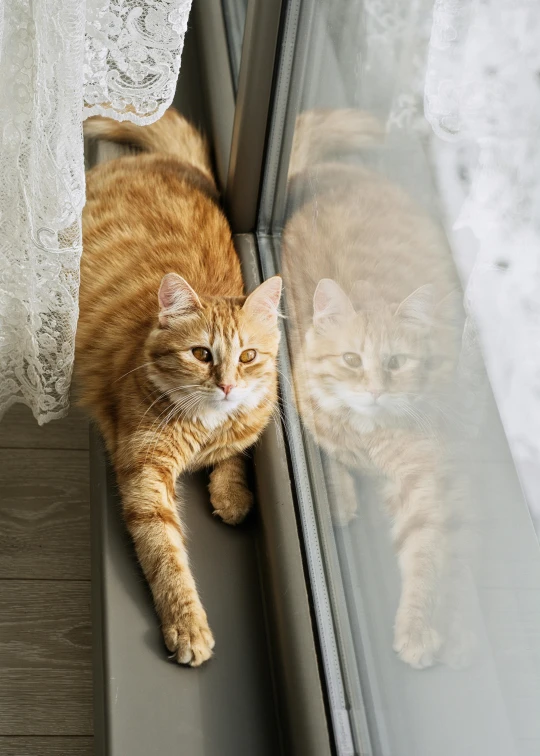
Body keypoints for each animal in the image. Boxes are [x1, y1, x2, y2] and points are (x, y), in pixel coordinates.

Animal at [78, 109, 284, 664]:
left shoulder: (243, 427)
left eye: (248, 356)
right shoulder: (145, 476)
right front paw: (188, 625)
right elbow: (166, 556)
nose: (228, 385)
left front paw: (232, 494)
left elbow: (236, 453)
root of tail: (177, 164)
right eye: (202, 355)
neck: (205, 427)